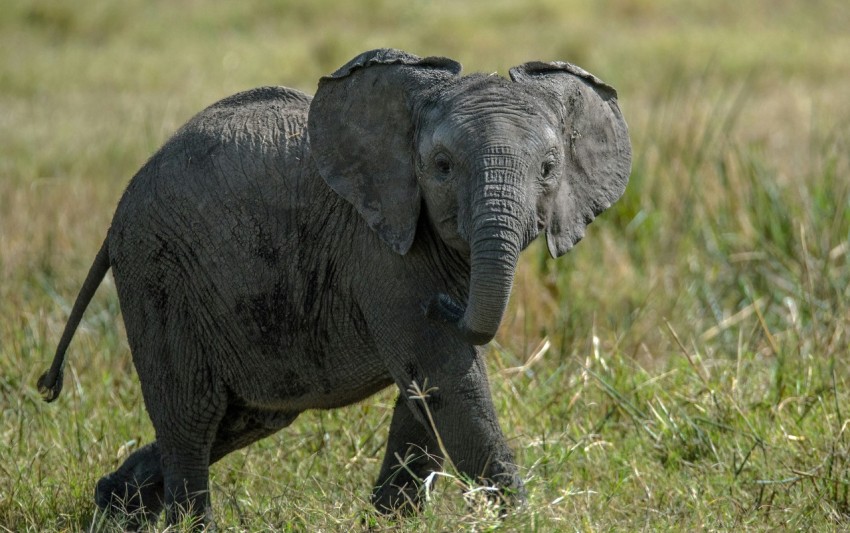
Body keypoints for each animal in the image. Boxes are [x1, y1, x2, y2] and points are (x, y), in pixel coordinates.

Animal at [37, 48, 631, 527]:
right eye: (441, 167)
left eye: (549, 169)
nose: (446, 303)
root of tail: (119, 209)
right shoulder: (383, 251)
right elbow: (445, 374)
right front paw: (525, 522)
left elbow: (426, 391)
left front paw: (388, 522)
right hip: (158, 270)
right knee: (191, 414)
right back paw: (186, 524)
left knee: (244, 415)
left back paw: (115, 507)